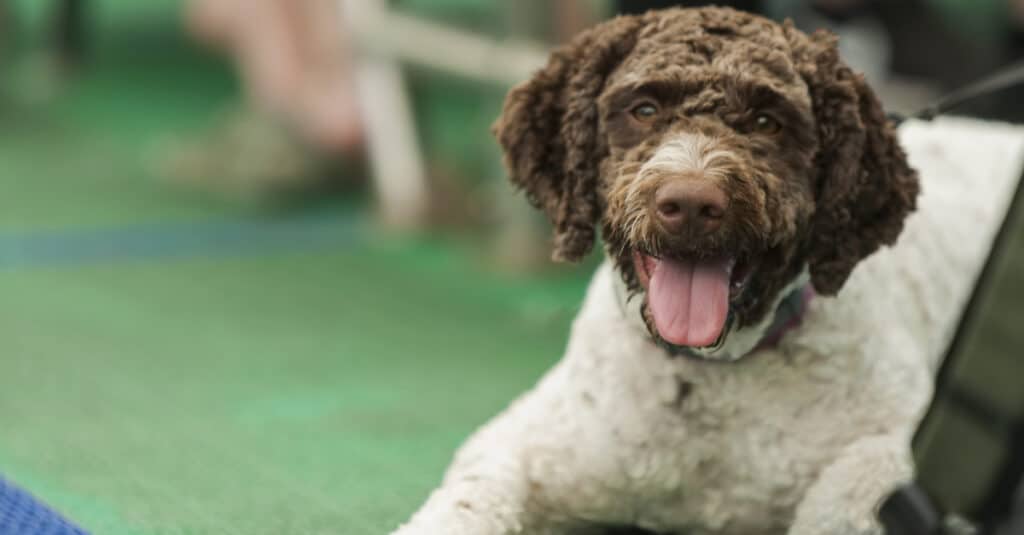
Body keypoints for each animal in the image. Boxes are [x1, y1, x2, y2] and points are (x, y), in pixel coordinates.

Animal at [393, 5, 1024, 532]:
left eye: (768, 121)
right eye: (644, 109)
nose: (691, 203)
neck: (707, 381)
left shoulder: (892, 447)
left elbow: (844, 497)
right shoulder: (524, 443)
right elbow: (468, 500)